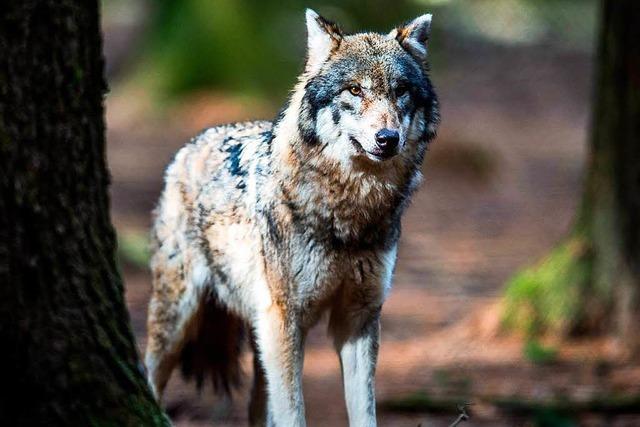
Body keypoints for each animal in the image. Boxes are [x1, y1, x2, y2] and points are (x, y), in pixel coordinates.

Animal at [146, 8, 440, 426]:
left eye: (400, 90)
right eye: (354, 91)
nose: (388, 138)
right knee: (149, 375)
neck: (349, 212)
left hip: (258, 334)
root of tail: (190, 145)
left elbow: (364, 411)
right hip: (180, 319)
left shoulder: (358, 318)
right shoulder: (286, 320)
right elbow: (293, 412)